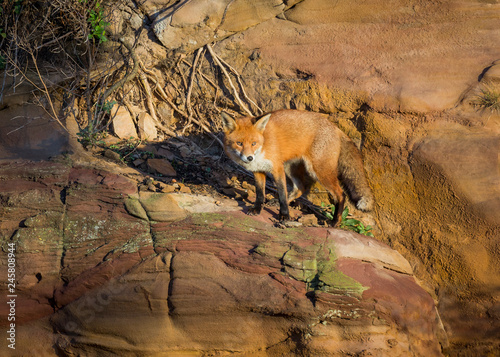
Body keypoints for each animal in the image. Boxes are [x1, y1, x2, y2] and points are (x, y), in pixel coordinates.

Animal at [221, 109, 374, 225]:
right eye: (239, 143)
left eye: (253, 143)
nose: (249, 158)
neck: (263, 146)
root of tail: (335, 128)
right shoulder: (258, 170)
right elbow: (260, 194)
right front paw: (257, 209)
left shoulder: (277, 168)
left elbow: (282, 194)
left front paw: (284, 215)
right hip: (291, 168)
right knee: (301, 188)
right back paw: (275, 202)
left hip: (318, 171)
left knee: (341, 195)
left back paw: (335, 222)